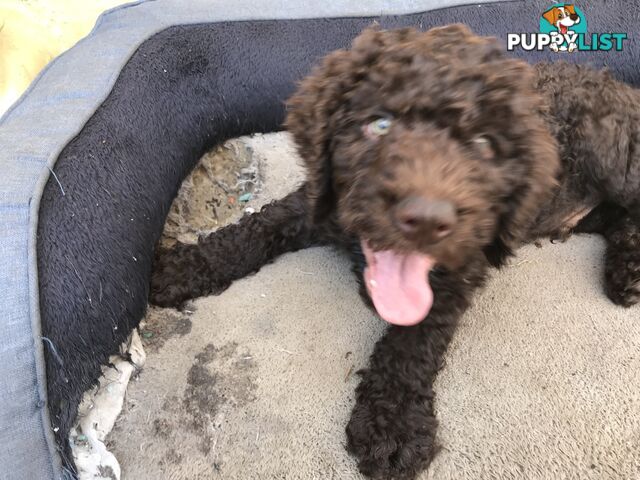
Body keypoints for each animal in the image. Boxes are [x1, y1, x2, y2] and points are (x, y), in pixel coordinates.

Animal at [151, 25, 640, 480]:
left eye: (484, 144)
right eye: (379, 124)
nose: (426, 219)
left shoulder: (458, 268)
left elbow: (413, 342)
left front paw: (394, 424)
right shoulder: (314, 204)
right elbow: (253, 229)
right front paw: (181, 267)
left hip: (610, 157)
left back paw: (630, 270)